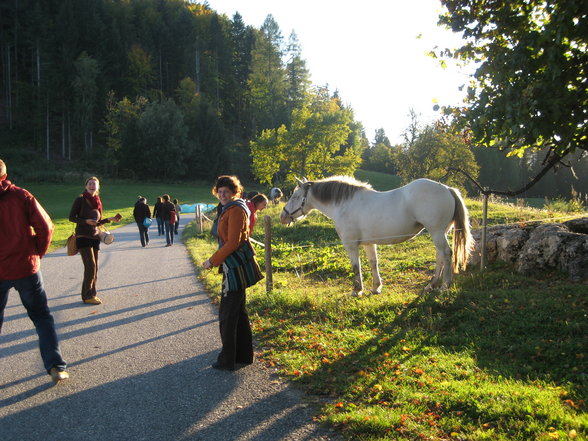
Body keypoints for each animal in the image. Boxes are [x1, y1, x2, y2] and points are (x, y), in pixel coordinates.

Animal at [278, 175, 476, 296]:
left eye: (295, 196)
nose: (283, 216)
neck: (344, 205)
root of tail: (447, 189)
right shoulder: (368, 243)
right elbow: (374, 263)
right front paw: (376, 287)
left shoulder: (351, 245)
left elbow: (355, 266)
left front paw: (357, 290)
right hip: (439, 232)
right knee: (440, 256)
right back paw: (432, 284)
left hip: (436, 232)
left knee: (446, 254)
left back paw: (444, 285)